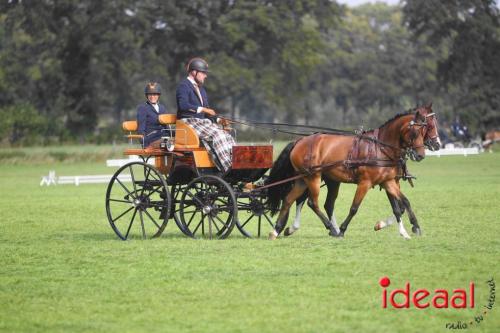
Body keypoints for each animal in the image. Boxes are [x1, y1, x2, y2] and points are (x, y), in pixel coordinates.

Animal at [266, 105, 438, 237]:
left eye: (425, 130)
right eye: (417, 132)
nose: (421, 154)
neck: (380, 148)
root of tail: (300, 140)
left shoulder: (388, 181)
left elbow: (403, 203)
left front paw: (413, 227)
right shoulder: (365, 182)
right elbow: (355, 207)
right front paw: (342, 230)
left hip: (305, 179)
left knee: (290, 199)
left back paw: (277, 230)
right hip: (313, 177)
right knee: (312, 203)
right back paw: (332, 229)